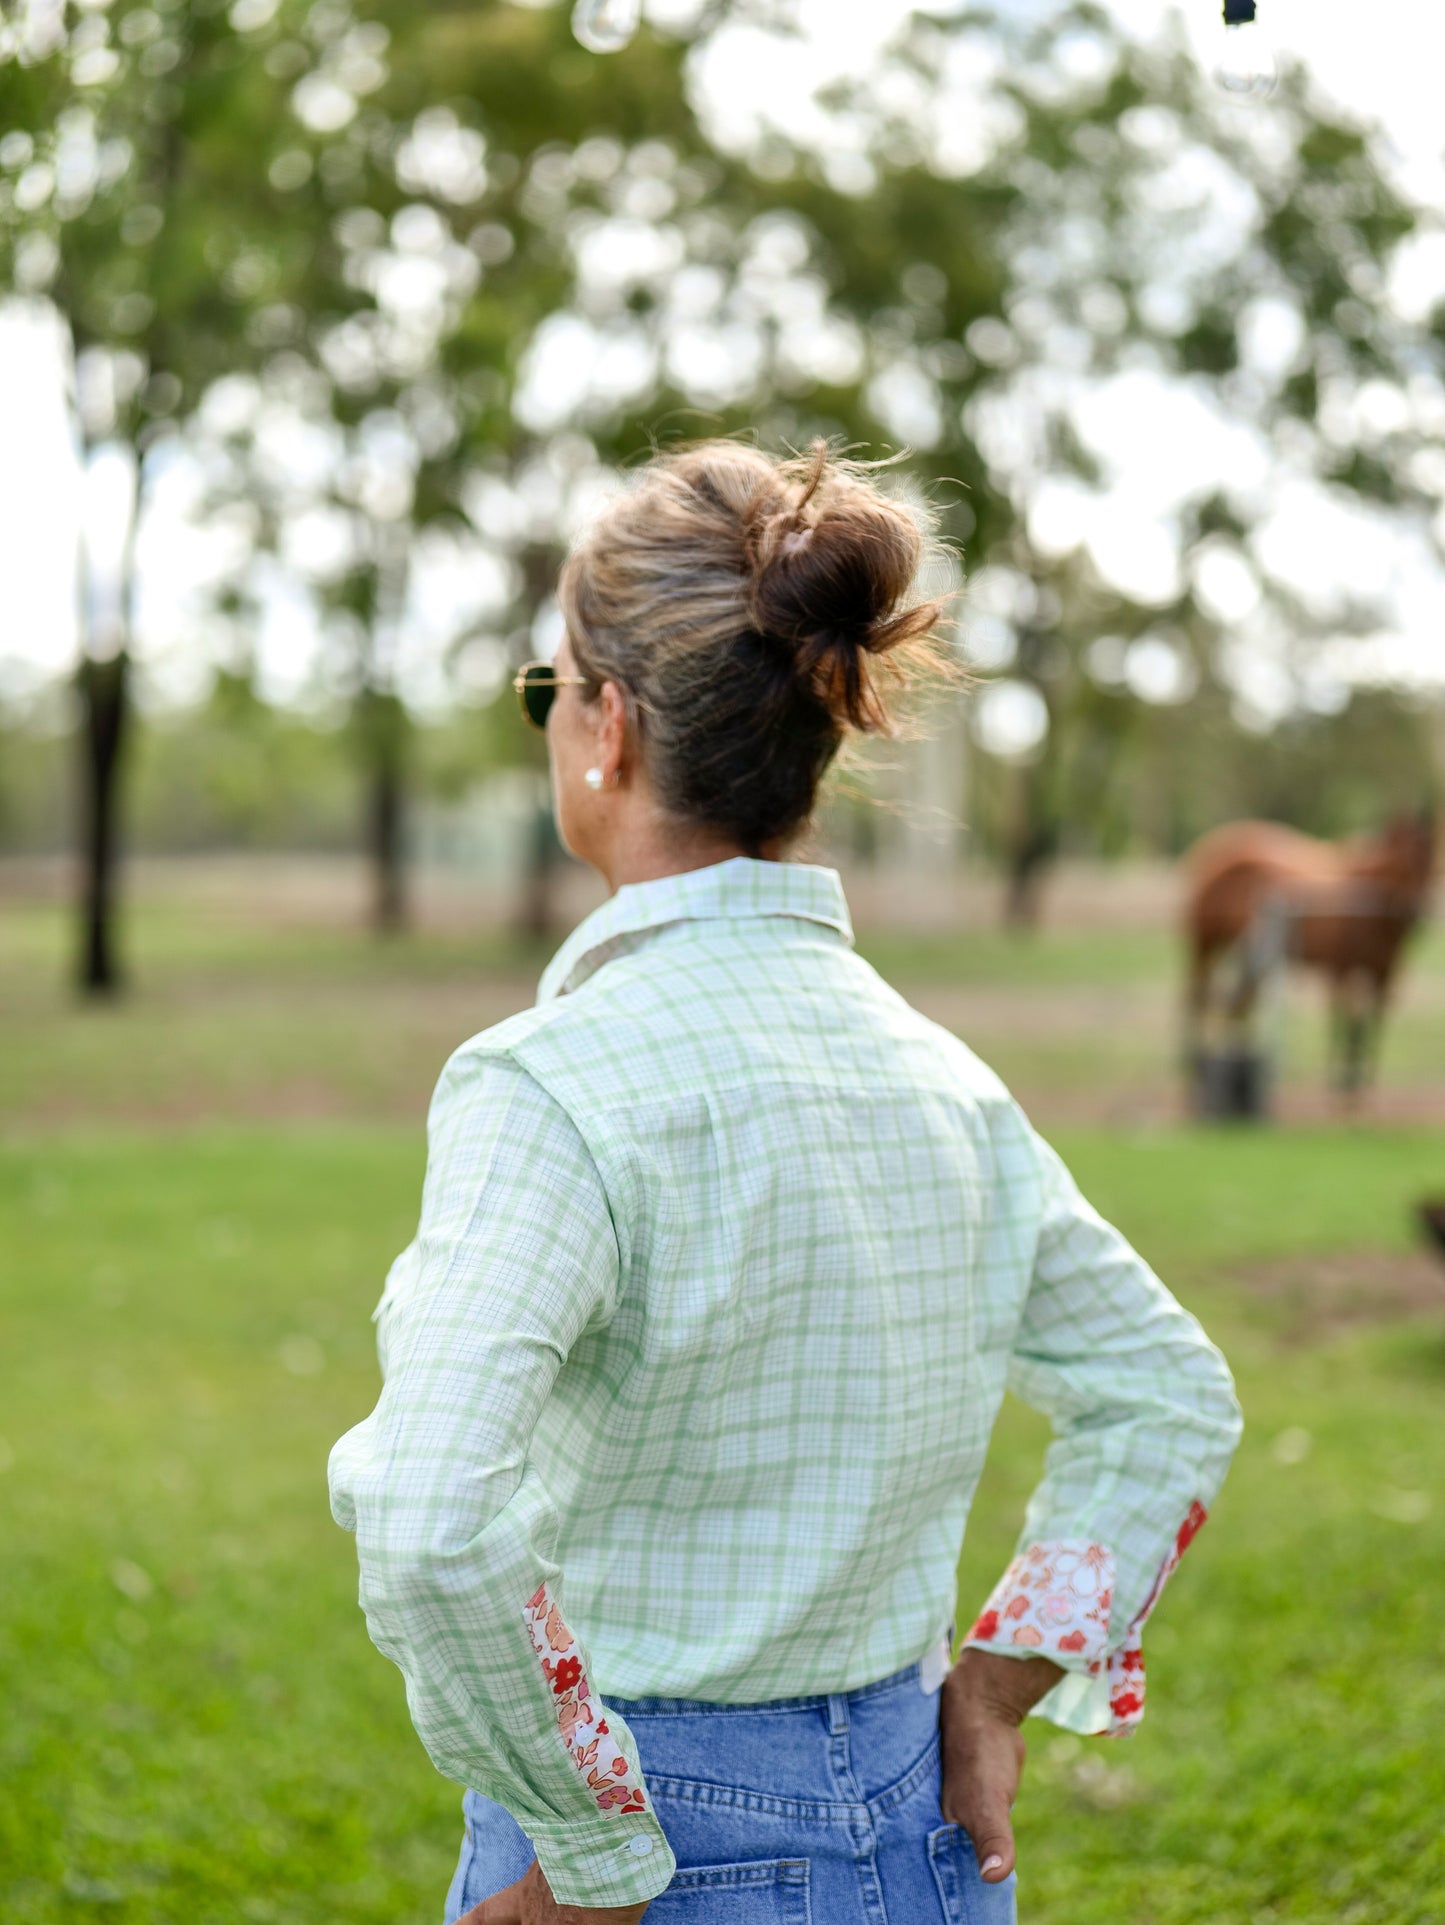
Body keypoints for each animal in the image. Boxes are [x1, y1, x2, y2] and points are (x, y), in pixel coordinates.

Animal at [1185, 808, 1439, 1101]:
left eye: (1433, 856)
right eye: (1403, 859)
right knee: (1198, 999)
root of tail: (1211, 849)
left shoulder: (1385, 971)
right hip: (1206, 945)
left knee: (1239, 1006)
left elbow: (1371, 1024)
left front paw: (1361, 1080)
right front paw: (1343, 1080)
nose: (1417, 910)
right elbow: (1343, 1020)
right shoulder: (1340, 968)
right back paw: (1195, 1062)